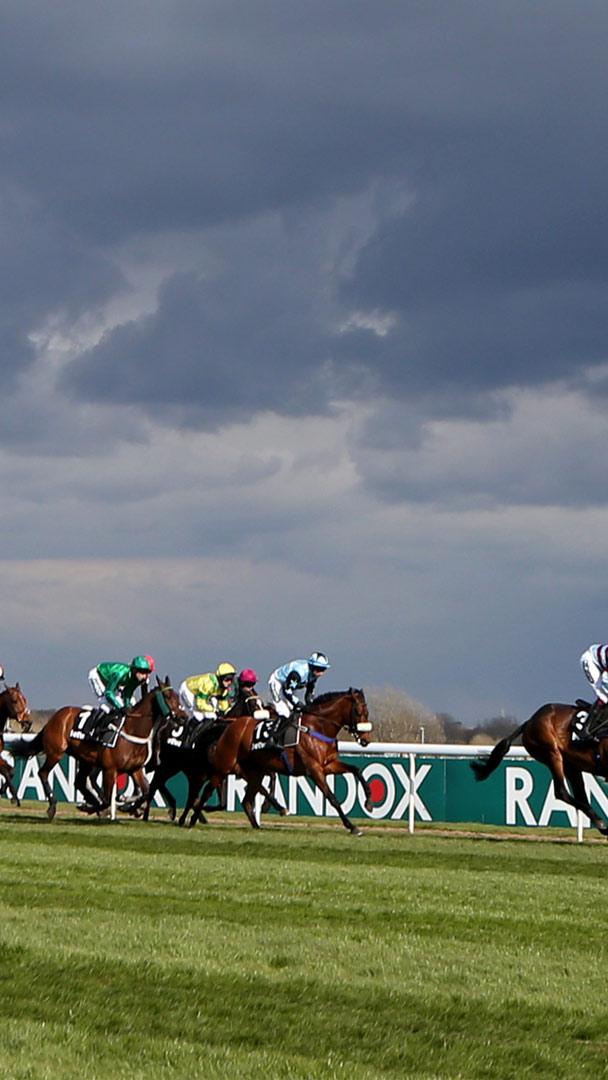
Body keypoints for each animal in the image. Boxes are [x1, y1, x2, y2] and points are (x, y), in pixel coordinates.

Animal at [10, 677, 184, 819]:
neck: (132, 730)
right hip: (56, 752)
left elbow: (146, 792)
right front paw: (109, 804)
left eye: (177, 696)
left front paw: (128, 806)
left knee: (80, 782)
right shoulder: (110, 769)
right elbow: (107, 799)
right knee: (43, 773)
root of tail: (55, 717)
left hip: (85, 759)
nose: (183, 717)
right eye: (168, 697)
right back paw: (53, 806)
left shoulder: (135, 769)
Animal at [187, 688, 374, 835]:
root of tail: (230, 726)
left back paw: (258, 825)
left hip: (254, 771)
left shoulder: (328, 765)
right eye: (358, 712)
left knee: (247, 800)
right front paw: (352, 826)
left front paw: (369, 802)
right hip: (225, 766)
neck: (317, 727)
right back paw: (193, 820)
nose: (365, 739)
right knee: (207, 792)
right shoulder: (314, 769)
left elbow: (356, 769)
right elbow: (332, 797)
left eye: (367, 712)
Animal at [470, 701, 608, 835]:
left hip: (571, 765)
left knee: (581, 796)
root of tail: (530, 721)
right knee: (561, 792)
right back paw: (600, 822)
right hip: (552, 753)